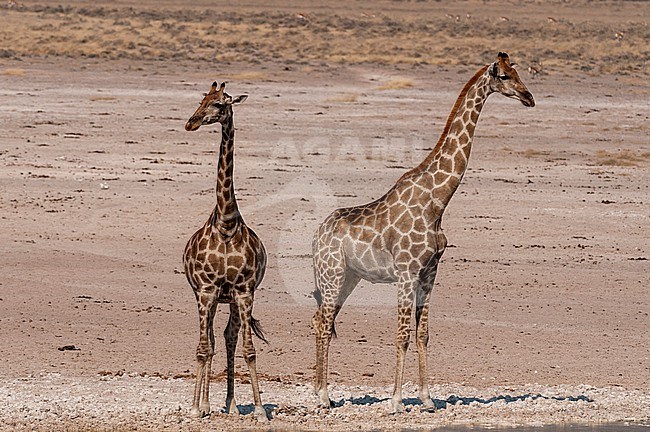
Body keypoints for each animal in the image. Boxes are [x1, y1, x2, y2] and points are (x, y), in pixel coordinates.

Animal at [182, 81, 268, 422]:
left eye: (220, 104)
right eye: (201, 100)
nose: (191, 122)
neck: (227, 223)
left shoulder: (244, 291)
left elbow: (248, 349)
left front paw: (259, 408)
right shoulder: (206, 290)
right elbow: (203, 349)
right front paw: (196, 407)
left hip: (229, 300)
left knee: (228, 338)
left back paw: (230, 403)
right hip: (207, 297)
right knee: (210, 341)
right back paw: (205, 403)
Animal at [312, 51, 536, 412]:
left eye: (518, 73)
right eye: (503, 76)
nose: (529, 97)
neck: (437, 201)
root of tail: (317, 235)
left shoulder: (430, 272)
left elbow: (423, 334)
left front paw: (427, 398)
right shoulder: (406, 272)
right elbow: (402, 334)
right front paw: (396, 400)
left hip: (348, 277)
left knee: (323, 320)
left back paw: (324, 393)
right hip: (331, 275)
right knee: (322, 323)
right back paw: (321, 396)